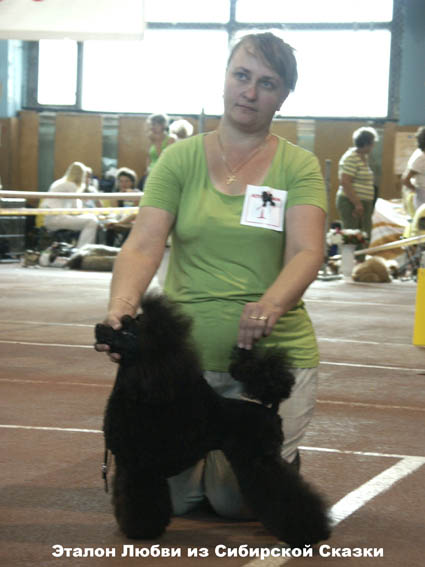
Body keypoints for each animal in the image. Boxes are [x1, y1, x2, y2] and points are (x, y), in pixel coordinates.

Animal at [95, 294, 331, 547]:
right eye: (121, 322)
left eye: (127, 332)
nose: (99, 327)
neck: (141, 393)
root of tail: (270, 409)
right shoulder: (127, 464)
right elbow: (125, 496)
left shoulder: (141, 465)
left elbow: (139, 502)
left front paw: (141, 531)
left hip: (258, 459)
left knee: (286, 492)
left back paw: (309, 532)